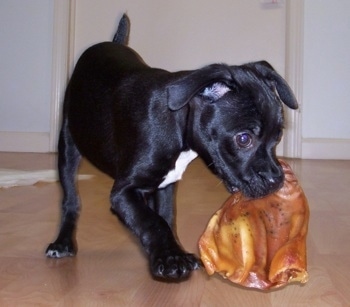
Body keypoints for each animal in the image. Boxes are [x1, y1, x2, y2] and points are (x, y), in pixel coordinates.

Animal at [45, 15, 298, 282]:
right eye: (243, 139)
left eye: (278, 136)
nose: (277, 180)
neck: (177, 125)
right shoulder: (124, 190)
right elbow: (153, 222)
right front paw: (170, 259)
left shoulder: (166, 184)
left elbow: (165, 217)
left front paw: (172, 252)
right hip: (68, 144)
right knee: (71, 199)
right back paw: (62, 243)